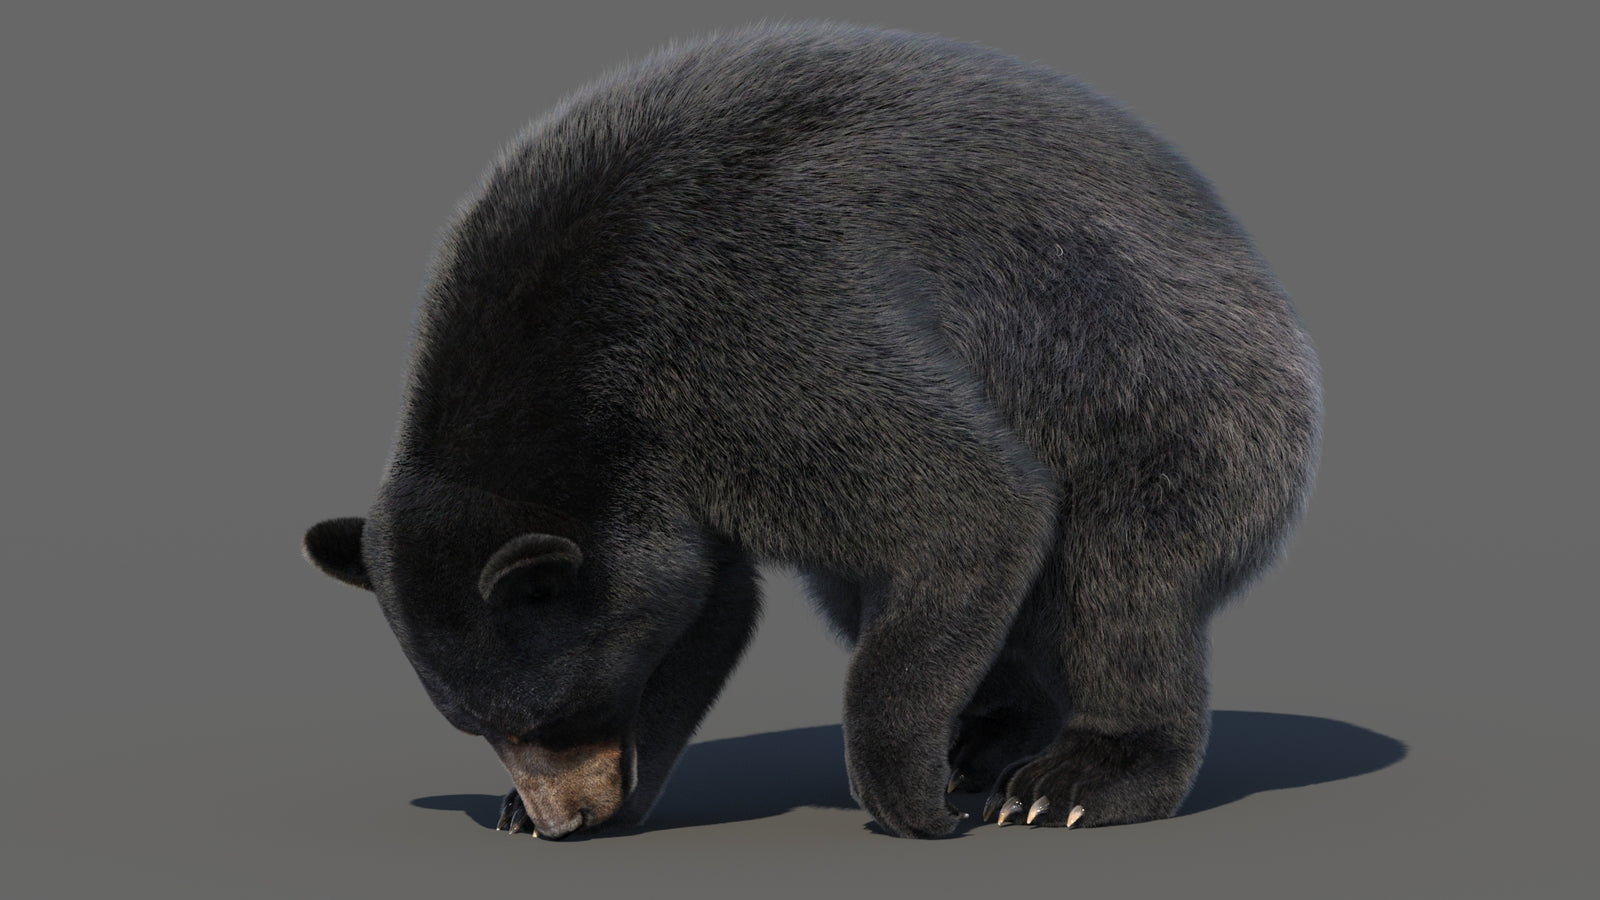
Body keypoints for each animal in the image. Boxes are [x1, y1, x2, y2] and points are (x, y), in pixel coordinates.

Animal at [303, 21, 1321, 841]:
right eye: (479, 725)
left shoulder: (756, 340)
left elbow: (970, 501)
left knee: (1125, 581)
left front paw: (912, 798)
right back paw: (987, 735)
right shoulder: (671, 460)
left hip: (1163, 392)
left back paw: (1072, 780)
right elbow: (705, 607)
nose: (564, 819)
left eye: (550, 715)